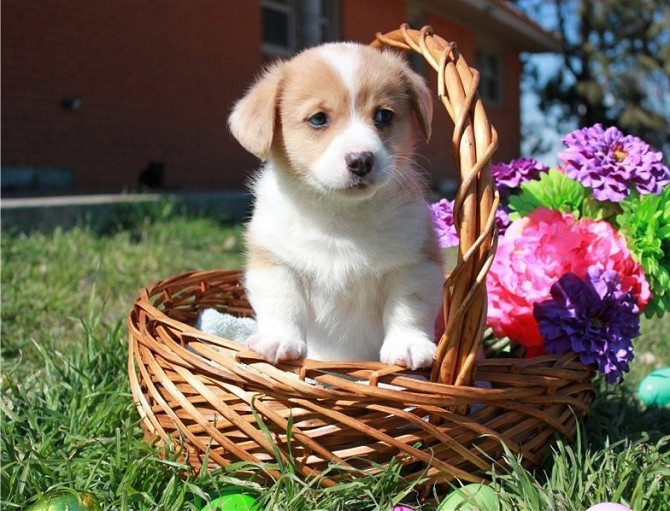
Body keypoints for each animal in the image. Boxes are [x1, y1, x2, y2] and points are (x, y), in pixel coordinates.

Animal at [230, 42, 446, 370]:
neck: (341, 216)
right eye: (318, 119)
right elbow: (281, 304)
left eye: (384, 115)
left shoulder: (414, 264)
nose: (361, 160)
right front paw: (278, 341)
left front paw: (409, 345)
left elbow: (409, 309)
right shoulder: (275, 262)